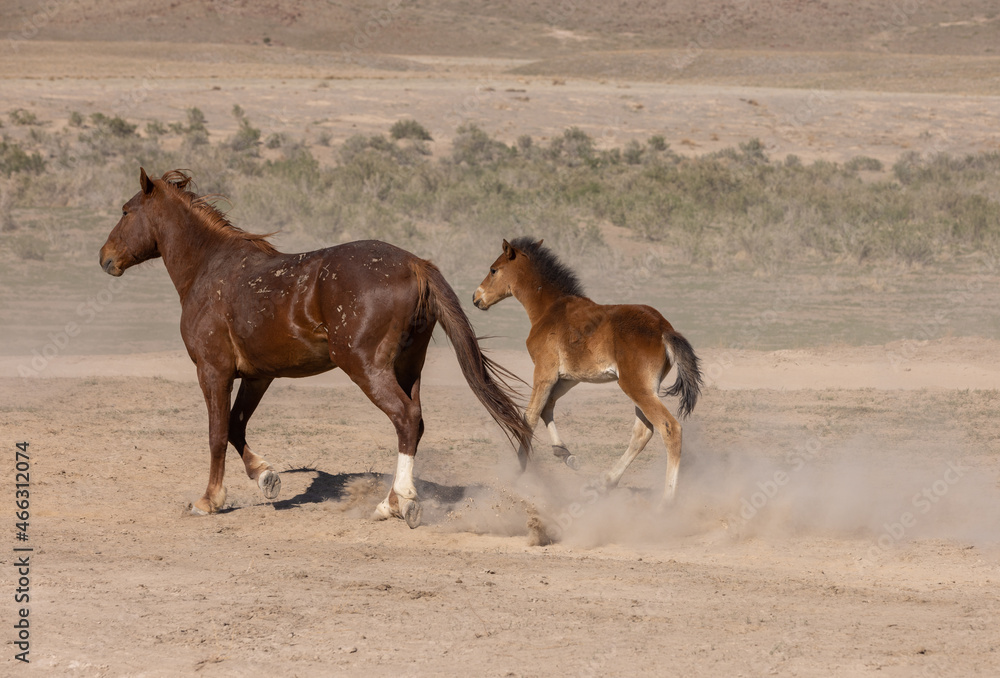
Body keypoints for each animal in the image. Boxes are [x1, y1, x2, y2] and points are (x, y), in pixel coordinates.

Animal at [99, 168, 531, 527]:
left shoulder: (213, 371)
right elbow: (237, 426)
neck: (211, 270)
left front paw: (209, 500)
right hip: (408, 367)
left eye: (125, 211)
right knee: (416, 421)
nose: (105, 258)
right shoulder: (258, 376)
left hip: (365, 367)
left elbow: (217, 433)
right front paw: (266, 477)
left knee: (406, 418)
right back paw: (394, 501)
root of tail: (414, 264)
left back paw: (399, 503)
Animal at [473, 238, 703, 507]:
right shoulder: (568, 378)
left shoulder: (545, 371)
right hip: (646, 388)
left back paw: (666, 503)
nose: (476, 297)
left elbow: (530, 415)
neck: (549, 310)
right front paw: (565, 454)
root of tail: (664, 329)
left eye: (493, 270)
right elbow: (547, 407)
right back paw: (605, 483)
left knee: (669, 428)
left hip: (635, 386)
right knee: (643, 432)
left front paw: (519, 468)